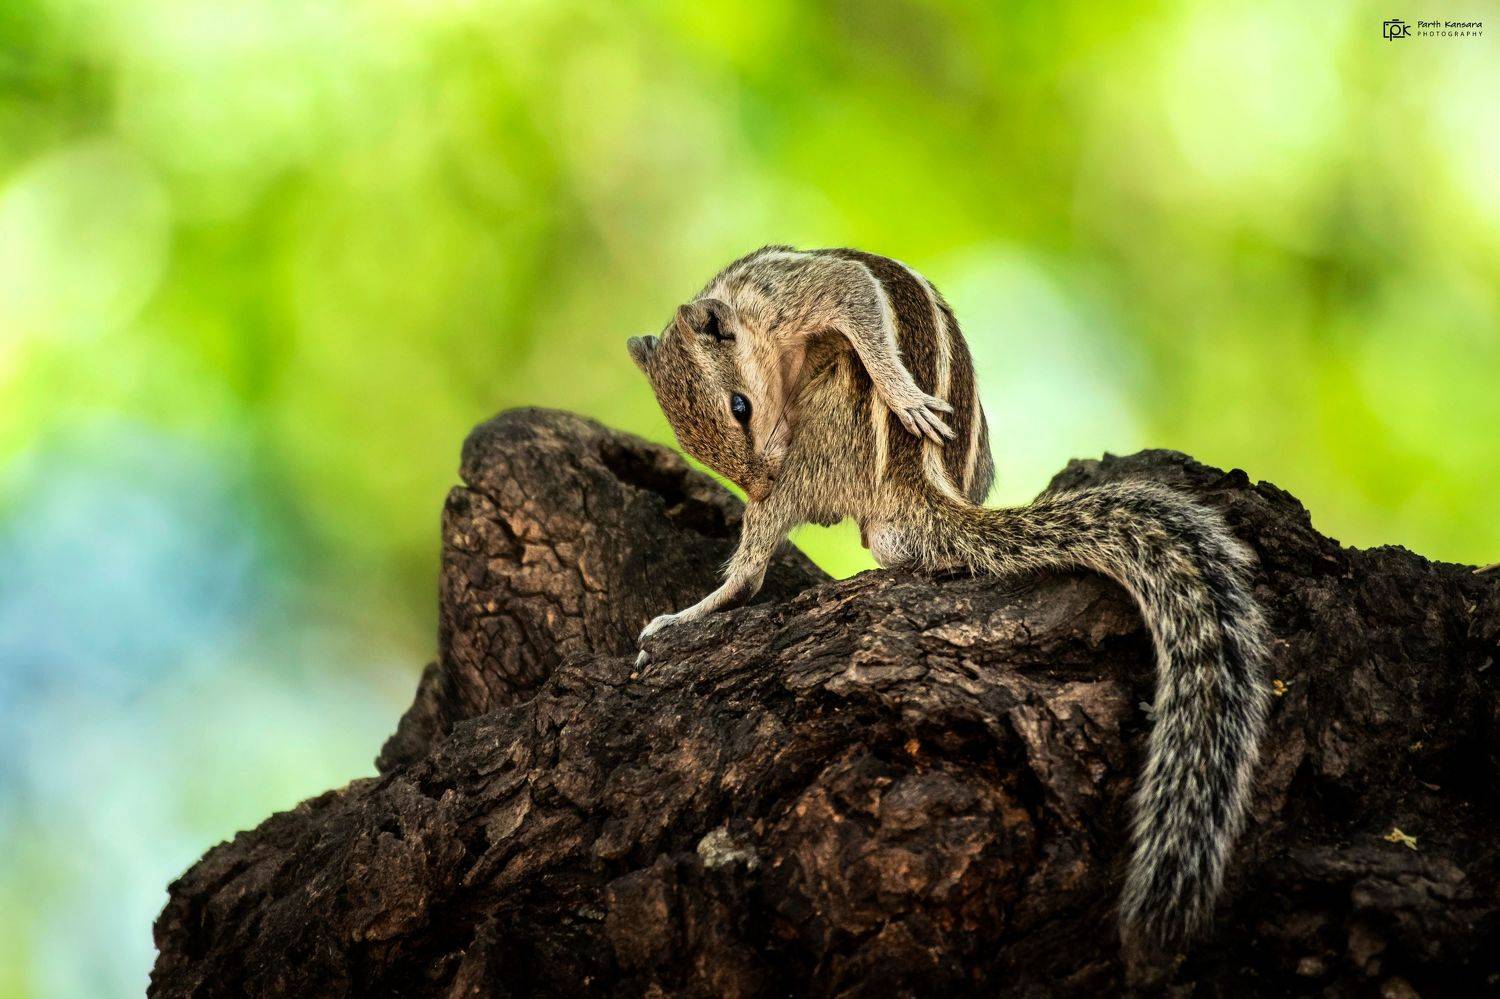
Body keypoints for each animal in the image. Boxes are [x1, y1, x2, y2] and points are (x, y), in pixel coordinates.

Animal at [626, 244, 1271, 949]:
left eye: (740, 406)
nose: (760, 478)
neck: (738, 296)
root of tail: (926, 497)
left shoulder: (794, 293)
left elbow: (852, 296)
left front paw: (905, 393)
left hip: (823, 435)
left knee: (754, 565)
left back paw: (689, 613)